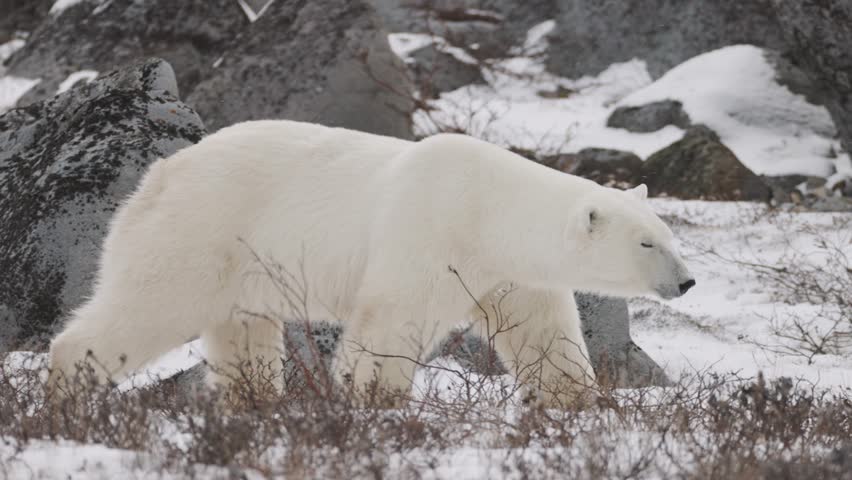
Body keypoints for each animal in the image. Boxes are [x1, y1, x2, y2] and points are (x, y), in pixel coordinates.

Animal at [47, 120, 695, 406]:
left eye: (667, 235)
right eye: (646, 244)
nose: (687, 281)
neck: (489, 207)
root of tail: (159, 174)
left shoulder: (506, 273)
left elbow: (544, 334)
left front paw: (579, 402)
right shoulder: (429, 232)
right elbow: (390, 323)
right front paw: (374, 405)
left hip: (242, 266)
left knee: (244, 335)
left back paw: (255, 404)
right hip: (201, 232)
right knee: (149, 304)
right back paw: (69, 387)